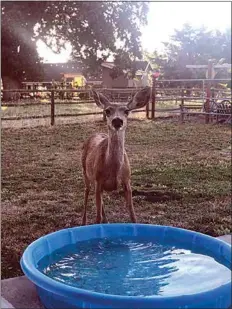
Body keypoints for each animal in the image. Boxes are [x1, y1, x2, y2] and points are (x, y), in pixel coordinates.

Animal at [81, 86, 150, 224]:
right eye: (107, 111)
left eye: (127, 111)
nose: (117, 120)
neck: (113, 169)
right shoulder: (98, 180)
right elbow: (97, 218)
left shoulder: (127, 181)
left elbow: (133, 215)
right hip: (85, 172)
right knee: (86, 193)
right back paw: (83, 222)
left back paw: (106, 221)